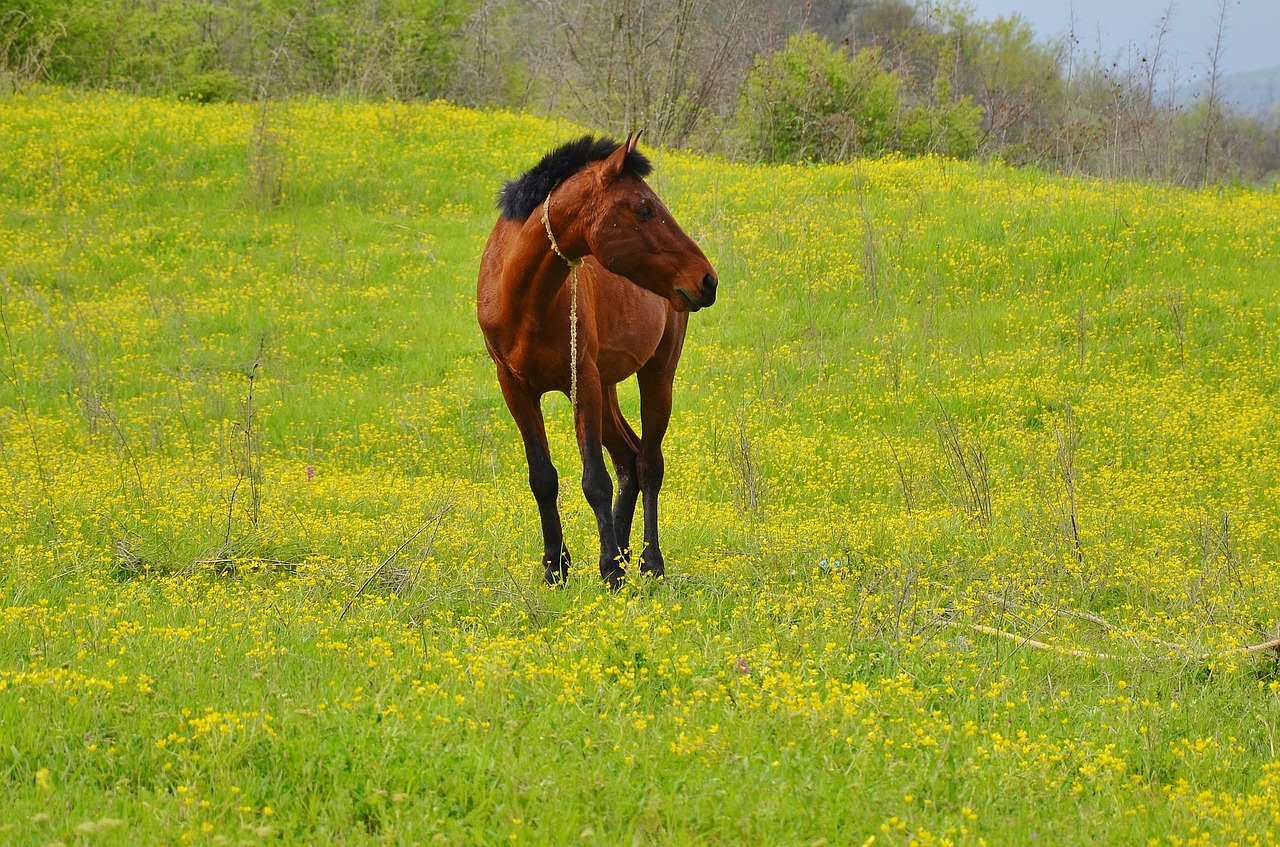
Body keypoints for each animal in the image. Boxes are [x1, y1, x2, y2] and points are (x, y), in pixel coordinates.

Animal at [478, 134, 721, 591]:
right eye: (644, 208)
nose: (707, 280)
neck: (524, 300)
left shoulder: (583, 382)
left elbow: (595, 480)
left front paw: (609, 570)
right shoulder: (516, 387)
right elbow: (543, 477)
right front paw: (556, 566)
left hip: (656, 376)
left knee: (648, 463)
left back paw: (648, 562)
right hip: (608, 389)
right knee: (628, 458)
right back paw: (624, 552)